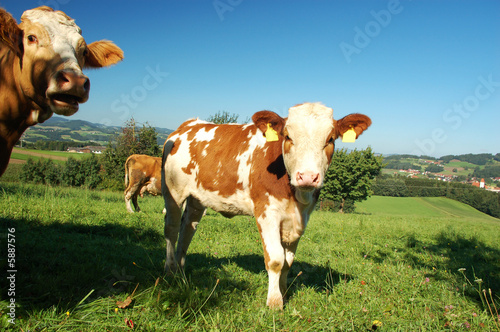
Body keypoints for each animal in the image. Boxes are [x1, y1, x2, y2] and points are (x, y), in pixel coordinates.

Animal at [161, 102, 372, 308]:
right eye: (288, 136)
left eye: (330, 139)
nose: (307, 176)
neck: (295, 196)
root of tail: (188, 125)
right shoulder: (266, 212)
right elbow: (276, 259)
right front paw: (275, 301)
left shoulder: (300, 217)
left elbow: (288, 261)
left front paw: (284, 293)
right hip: (173, 191)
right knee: (172, 228)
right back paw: (169, 270)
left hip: (197, 198)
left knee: (188, 228)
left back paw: (180, 272)